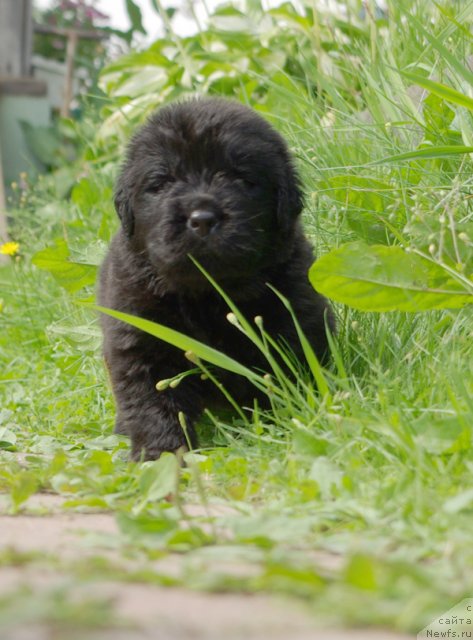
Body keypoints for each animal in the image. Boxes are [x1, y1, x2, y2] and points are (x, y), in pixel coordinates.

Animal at [99, 97, 334, 460]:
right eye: (162, 182)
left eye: (240, 178)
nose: (202, 219)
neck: (206, 293)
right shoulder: (139, 338)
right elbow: (152, 404)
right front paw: (162, 456)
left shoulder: (294, 314)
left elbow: (286, 372)